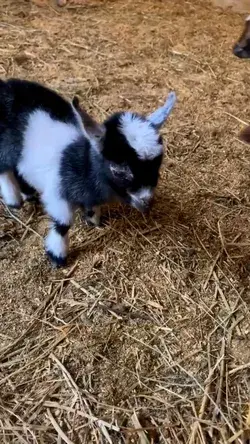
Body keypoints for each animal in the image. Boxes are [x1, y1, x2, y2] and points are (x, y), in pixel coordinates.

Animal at [0, 79, 176, 268]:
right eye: (118, 170)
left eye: (157, 165)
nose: (147, 202)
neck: (82, 164)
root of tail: (6, 85)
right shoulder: (57, 194)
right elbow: (62, 224)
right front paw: (57, 256)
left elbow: (92, 208)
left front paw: (93, 221)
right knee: (4, 170)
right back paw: (13, 200)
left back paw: (28, 194)